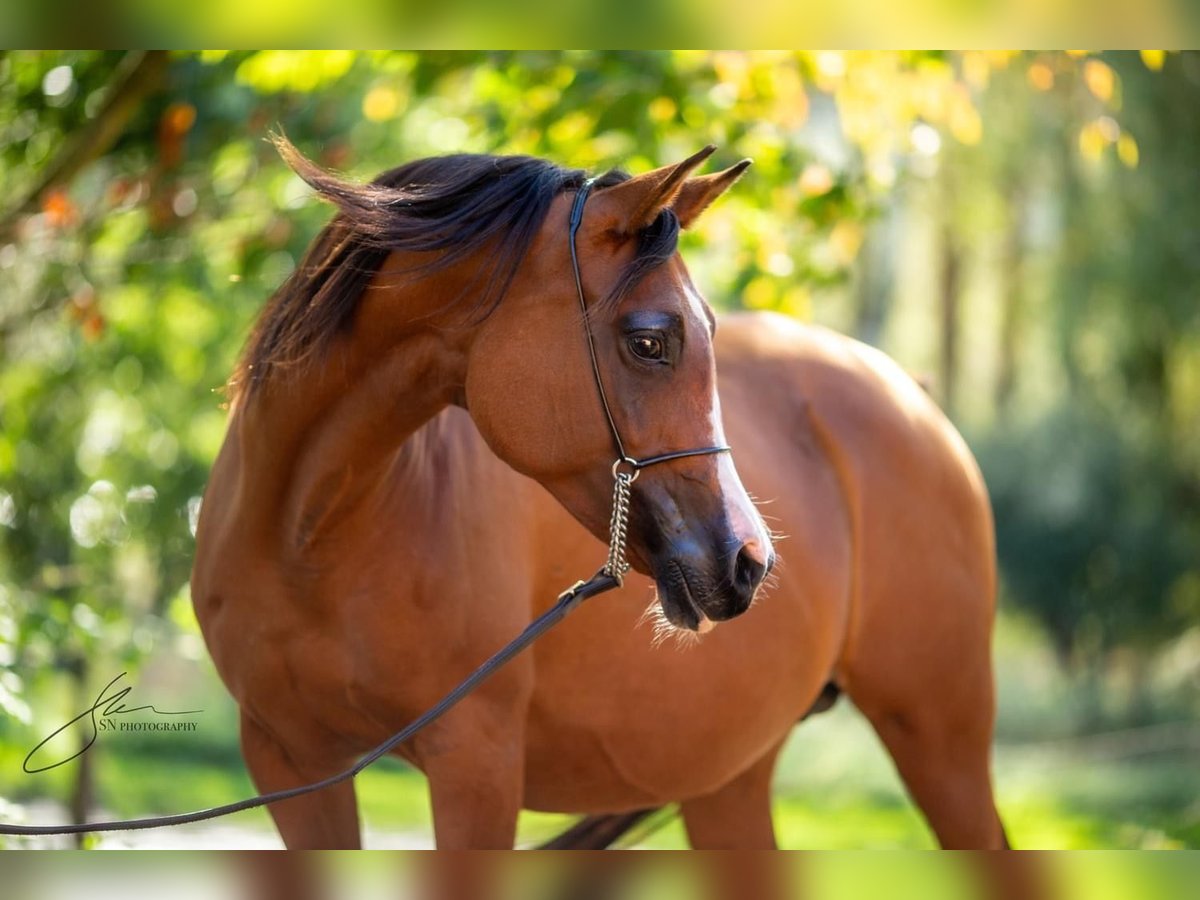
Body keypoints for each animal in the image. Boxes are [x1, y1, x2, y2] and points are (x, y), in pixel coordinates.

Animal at [192, 137, 1008, 849]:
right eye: (650, 340)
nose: (748, 560)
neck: (312, 534)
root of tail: (908, 389)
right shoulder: (292, 765)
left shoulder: (476, 764)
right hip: (728, 780)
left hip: (940, 742)